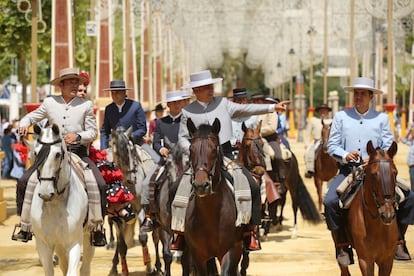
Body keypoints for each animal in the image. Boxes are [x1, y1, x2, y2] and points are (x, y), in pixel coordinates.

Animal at [30, 124, 94, 276]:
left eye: (58, 154)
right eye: (36, 153)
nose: (46, 193)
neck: (54, 204)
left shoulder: (74, 242)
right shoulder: (43, 244)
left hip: (89, 234)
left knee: (85, 266)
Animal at [342, 141, 400, 274]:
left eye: (395, 173)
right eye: (373, 174)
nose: (387, 215)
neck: (377, 228)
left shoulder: (387, 261)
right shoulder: (365, 260)